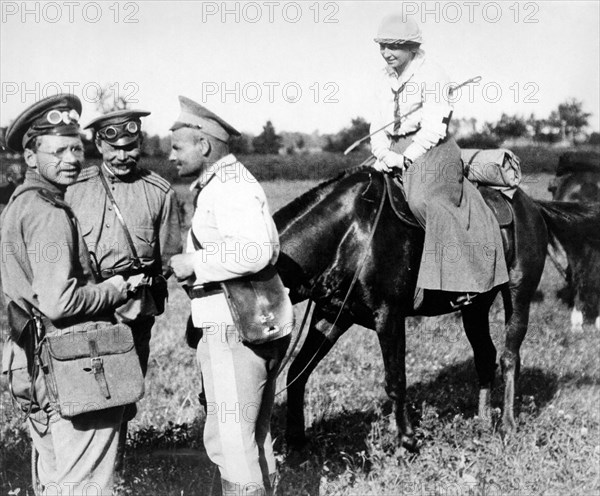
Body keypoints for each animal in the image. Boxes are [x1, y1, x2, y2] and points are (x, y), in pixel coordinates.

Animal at [274, 165, 600, 452]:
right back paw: (481, 422)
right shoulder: (332, 317)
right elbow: (297, 372)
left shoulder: (389, 316)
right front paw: (296, 441)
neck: (351, 232)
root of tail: (531, 206)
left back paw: (507, 426)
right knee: (486, 356)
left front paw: (407, 441)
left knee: (509, 358)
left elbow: (396, 380)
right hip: (475, 307)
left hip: (518, 295)